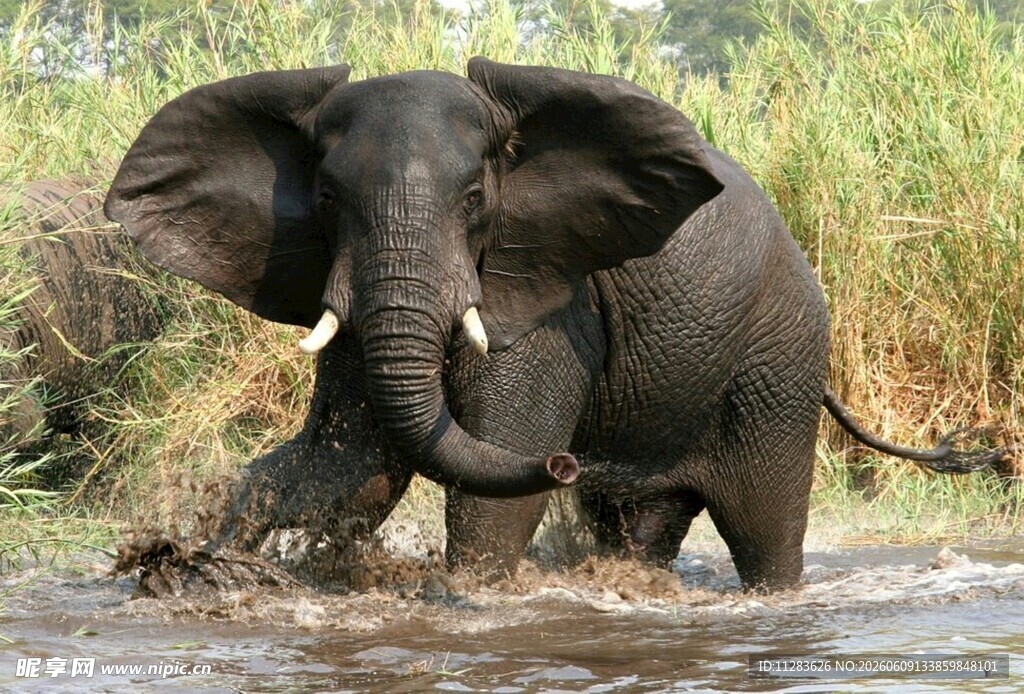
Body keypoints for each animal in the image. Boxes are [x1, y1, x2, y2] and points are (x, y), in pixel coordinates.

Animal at [104, 59, 1008, 591]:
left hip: (778, 358)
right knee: (642, 524)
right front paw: (215, 558)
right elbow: (349, 465)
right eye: (325, 201)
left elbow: (491, 479)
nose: (569, 460)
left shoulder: (547, 304)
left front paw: (472, 600)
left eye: (476, 201)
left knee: (764, 530)